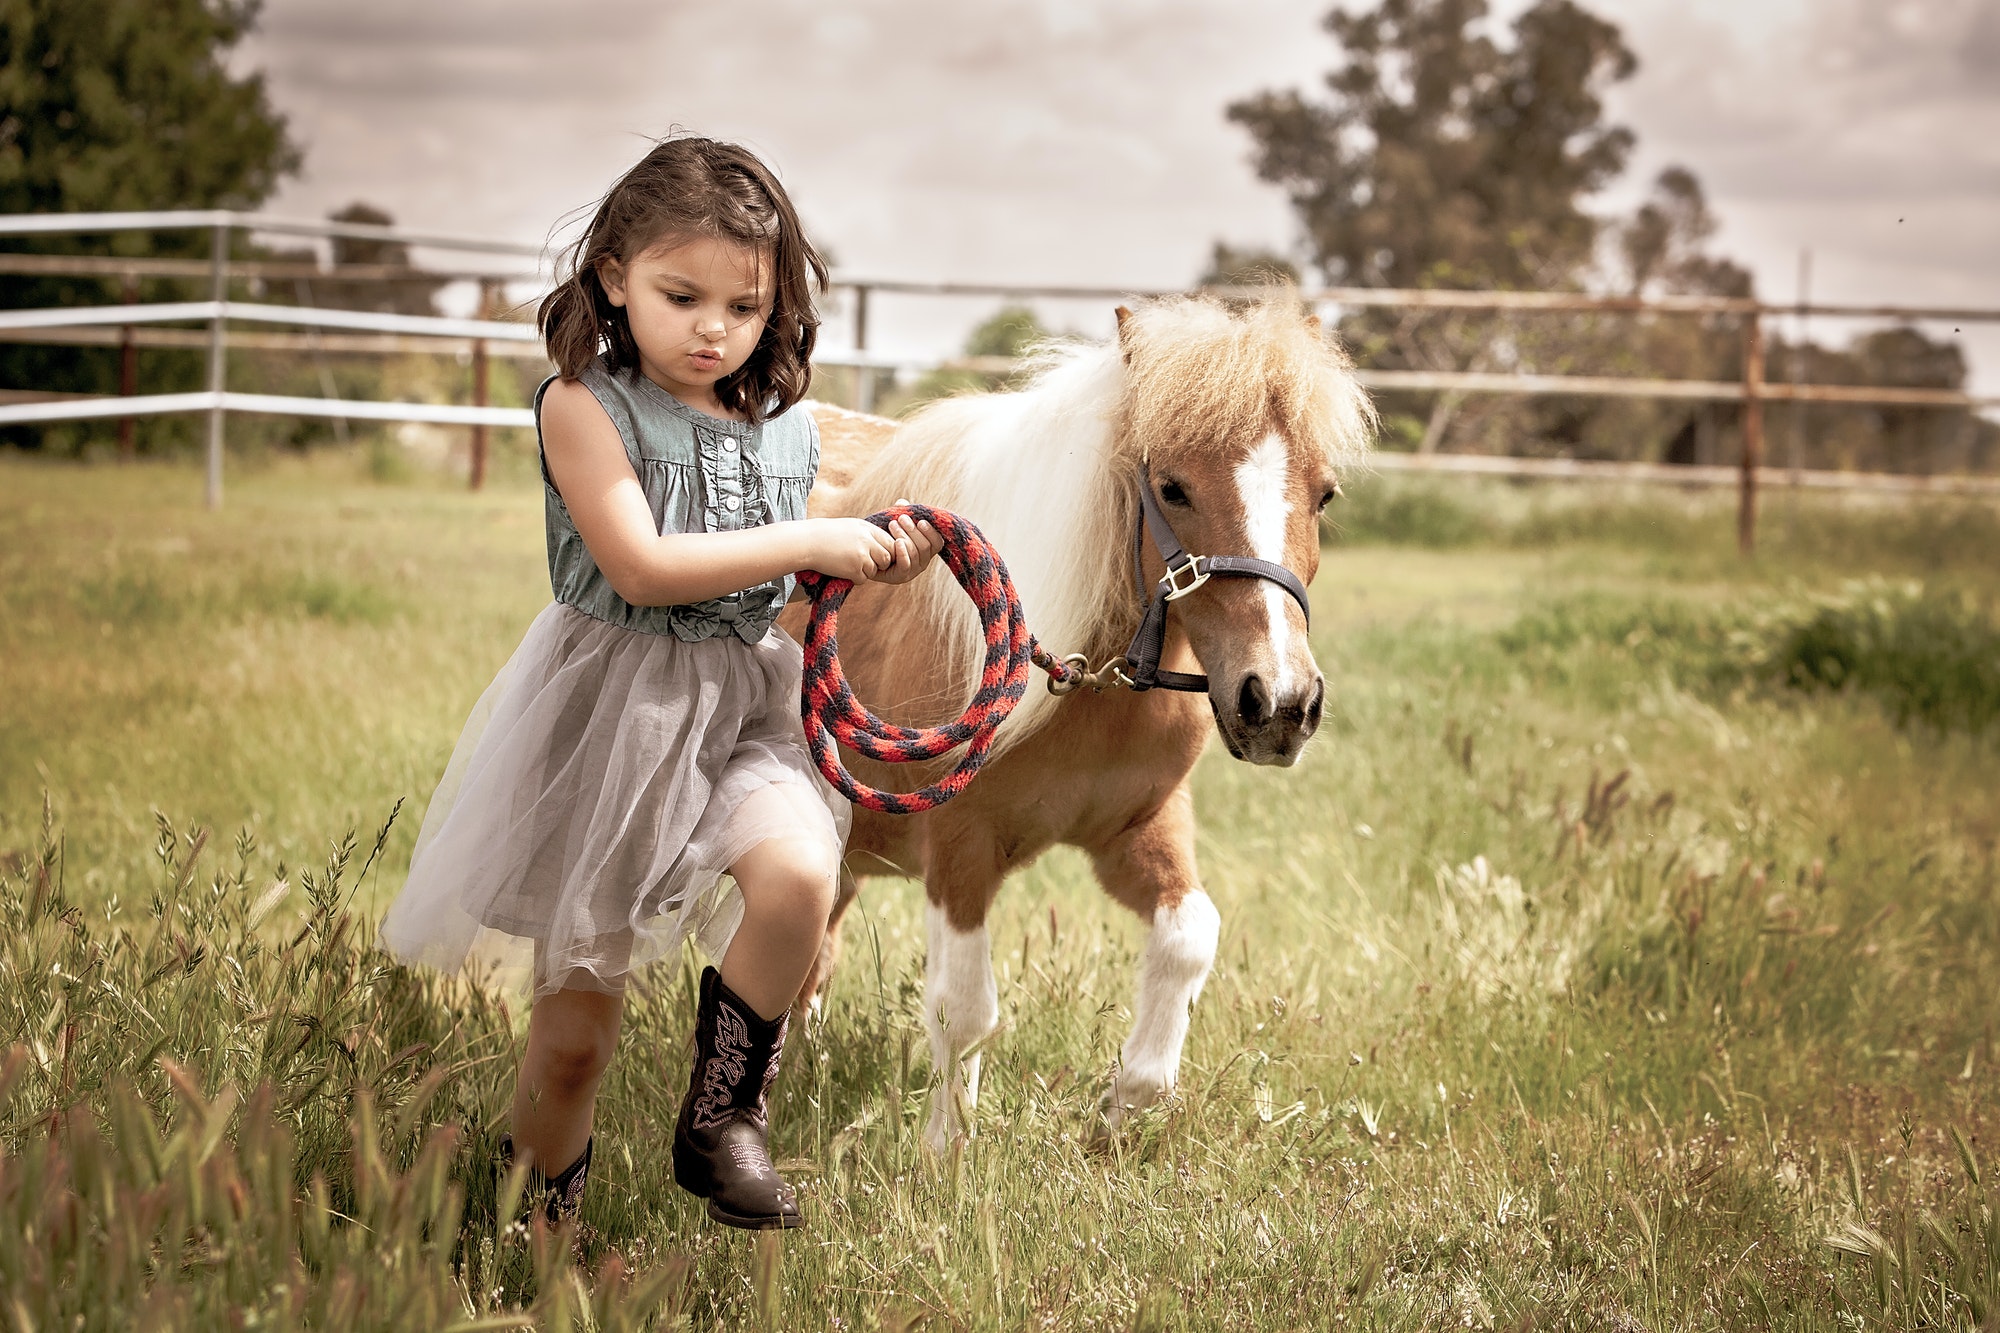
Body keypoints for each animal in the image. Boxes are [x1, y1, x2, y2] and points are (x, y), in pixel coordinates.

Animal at [784, 290, 1376, 1144]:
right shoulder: (959, 850)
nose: (1279, 702)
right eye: (1172, 487)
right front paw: (945, 1149)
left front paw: (1128, 1105)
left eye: (1324, 494)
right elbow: (964, 1009)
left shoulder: (1140, 828)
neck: (1080, 683)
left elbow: (1188, 938)